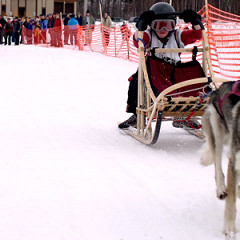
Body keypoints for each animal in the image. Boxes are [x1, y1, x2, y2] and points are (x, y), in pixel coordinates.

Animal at [201, 80, 240, 236]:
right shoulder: (234, 161)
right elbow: (231, 201)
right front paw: (229, 229)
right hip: (216, 131)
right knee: (218, 167)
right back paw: (221, 189)